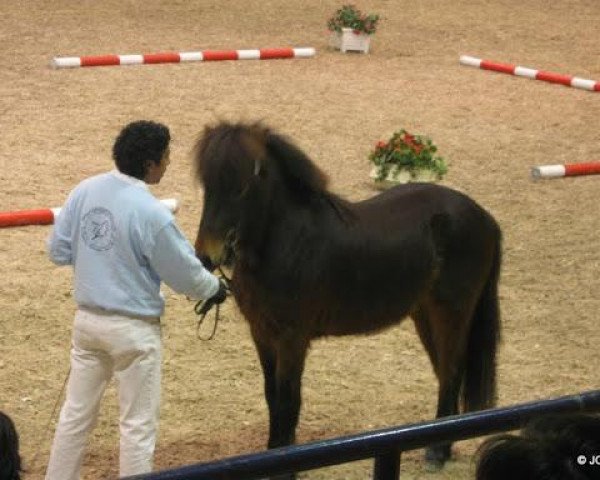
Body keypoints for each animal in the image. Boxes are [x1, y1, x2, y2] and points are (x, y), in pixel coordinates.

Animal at [193, 121, 502, 476]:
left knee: (451, 371)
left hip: (451, 312)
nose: (206, 255)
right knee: (446, 372)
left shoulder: (292, 339)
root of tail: (485, 217)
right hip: (425, 314)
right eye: (207, 183)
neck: (288, 243)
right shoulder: (262, 334)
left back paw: (437, 451)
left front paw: (286, 466)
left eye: (244, 184)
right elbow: (272, 396)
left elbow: (287, 400)